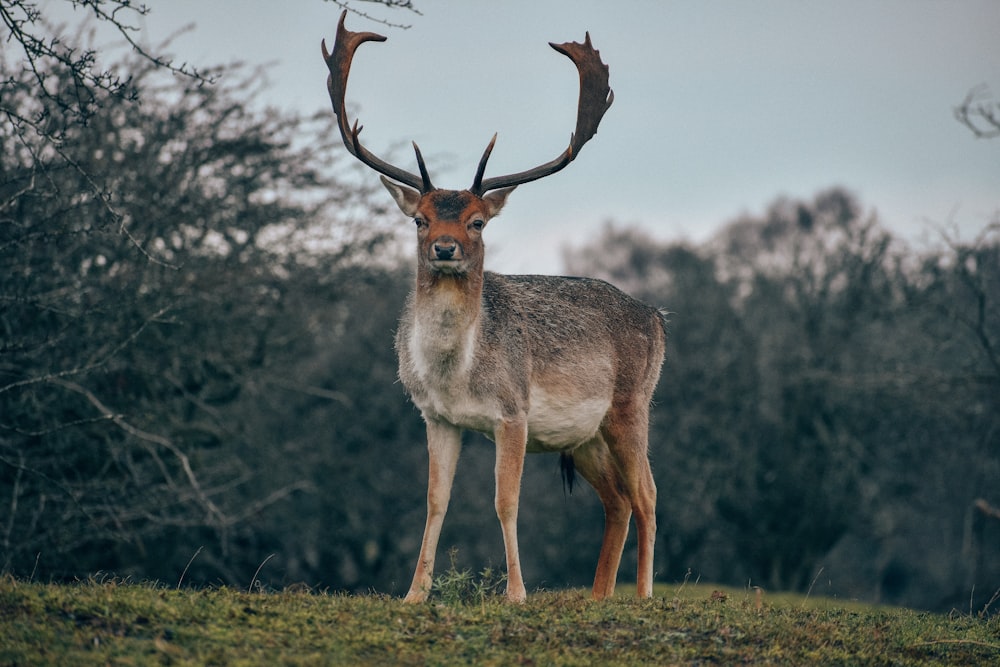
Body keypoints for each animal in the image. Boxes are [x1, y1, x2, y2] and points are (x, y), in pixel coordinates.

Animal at [320, 10, 664, 604]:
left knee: (647, 494)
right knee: (618, 500)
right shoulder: (435, 416)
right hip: (585, 436)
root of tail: (660, 318)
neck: (457, 373)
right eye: (420, 218)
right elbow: (435, 501)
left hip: (631, 405)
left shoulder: (514, 411)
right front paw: (413, 594)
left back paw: (641, 595)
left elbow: (506, 501)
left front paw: (516, 593)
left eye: (477, 221)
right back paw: (598, 596)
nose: (445, 248)